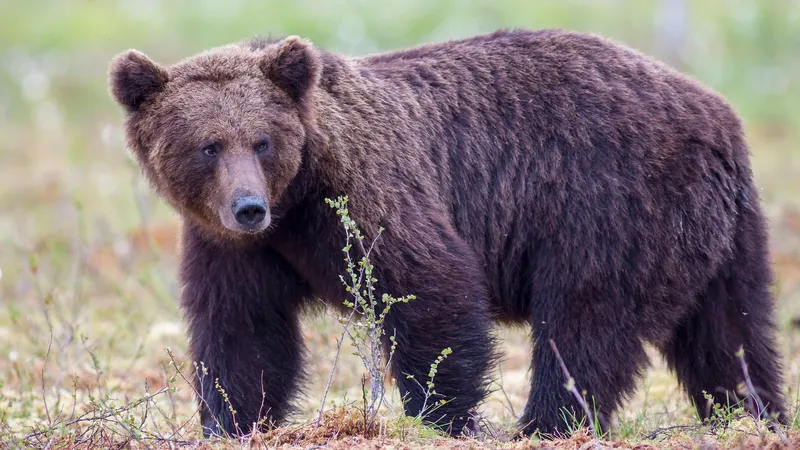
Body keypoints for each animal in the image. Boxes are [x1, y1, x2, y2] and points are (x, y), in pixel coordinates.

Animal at [107, 28, 787, 438]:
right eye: (207, 145)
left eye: (262, 140)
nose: (248, 206)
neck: (296, 200)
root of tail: (716, 113)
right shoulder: (235, 247)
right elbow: (243, 333)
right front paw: (235, 421)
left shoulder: (368, 192)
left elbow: (431, 289)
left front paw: (444, 417)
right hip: (722, 234)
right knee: (730, 333)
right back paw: (753, 415)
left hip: (609, 205)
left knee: (585, 324)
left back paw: (544, 425)